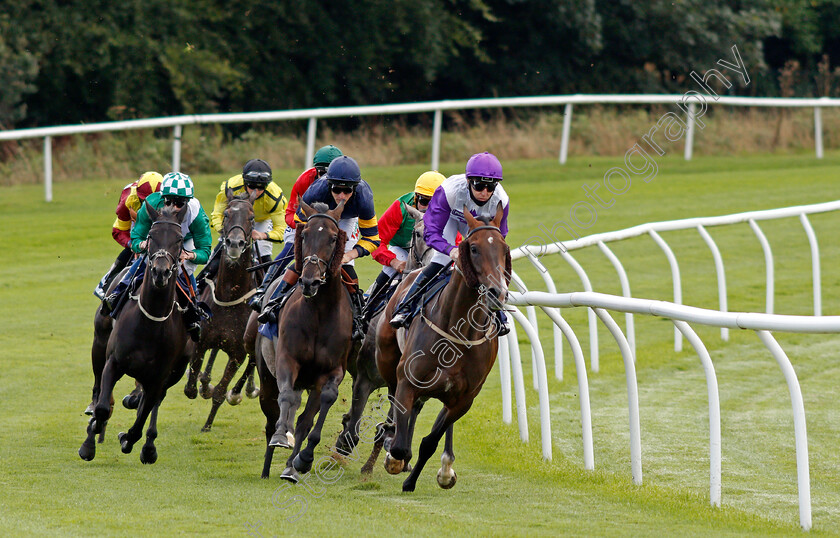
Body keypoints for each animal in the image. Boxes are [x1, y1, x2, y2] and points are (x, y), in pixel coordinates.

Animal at [253, 199, 352, 480]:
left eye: (333, 238)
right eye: (305, 234)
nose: (309, 281)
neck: (319, 312)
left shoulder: (332, 370)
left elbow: (320, 406)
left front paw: (303, 459)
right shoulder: (288, 359)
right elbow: (286, 398)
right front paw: (280, 438)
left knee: (302, 419)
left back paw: (290, 467)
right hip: (266, 375)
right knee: (272, 413)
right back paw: (267, 464)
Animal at [376, 204, 508, 490]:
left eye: (505, 248)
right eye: (473, 248)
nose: (497, 292)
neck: (458, 332)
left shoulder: (463, 399)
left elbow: (429, 442)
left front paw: (425, 478)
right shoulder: (408, 380)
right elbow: (401, 445)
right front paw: (394, 457)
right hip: (388, 361)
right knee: (393, 397)